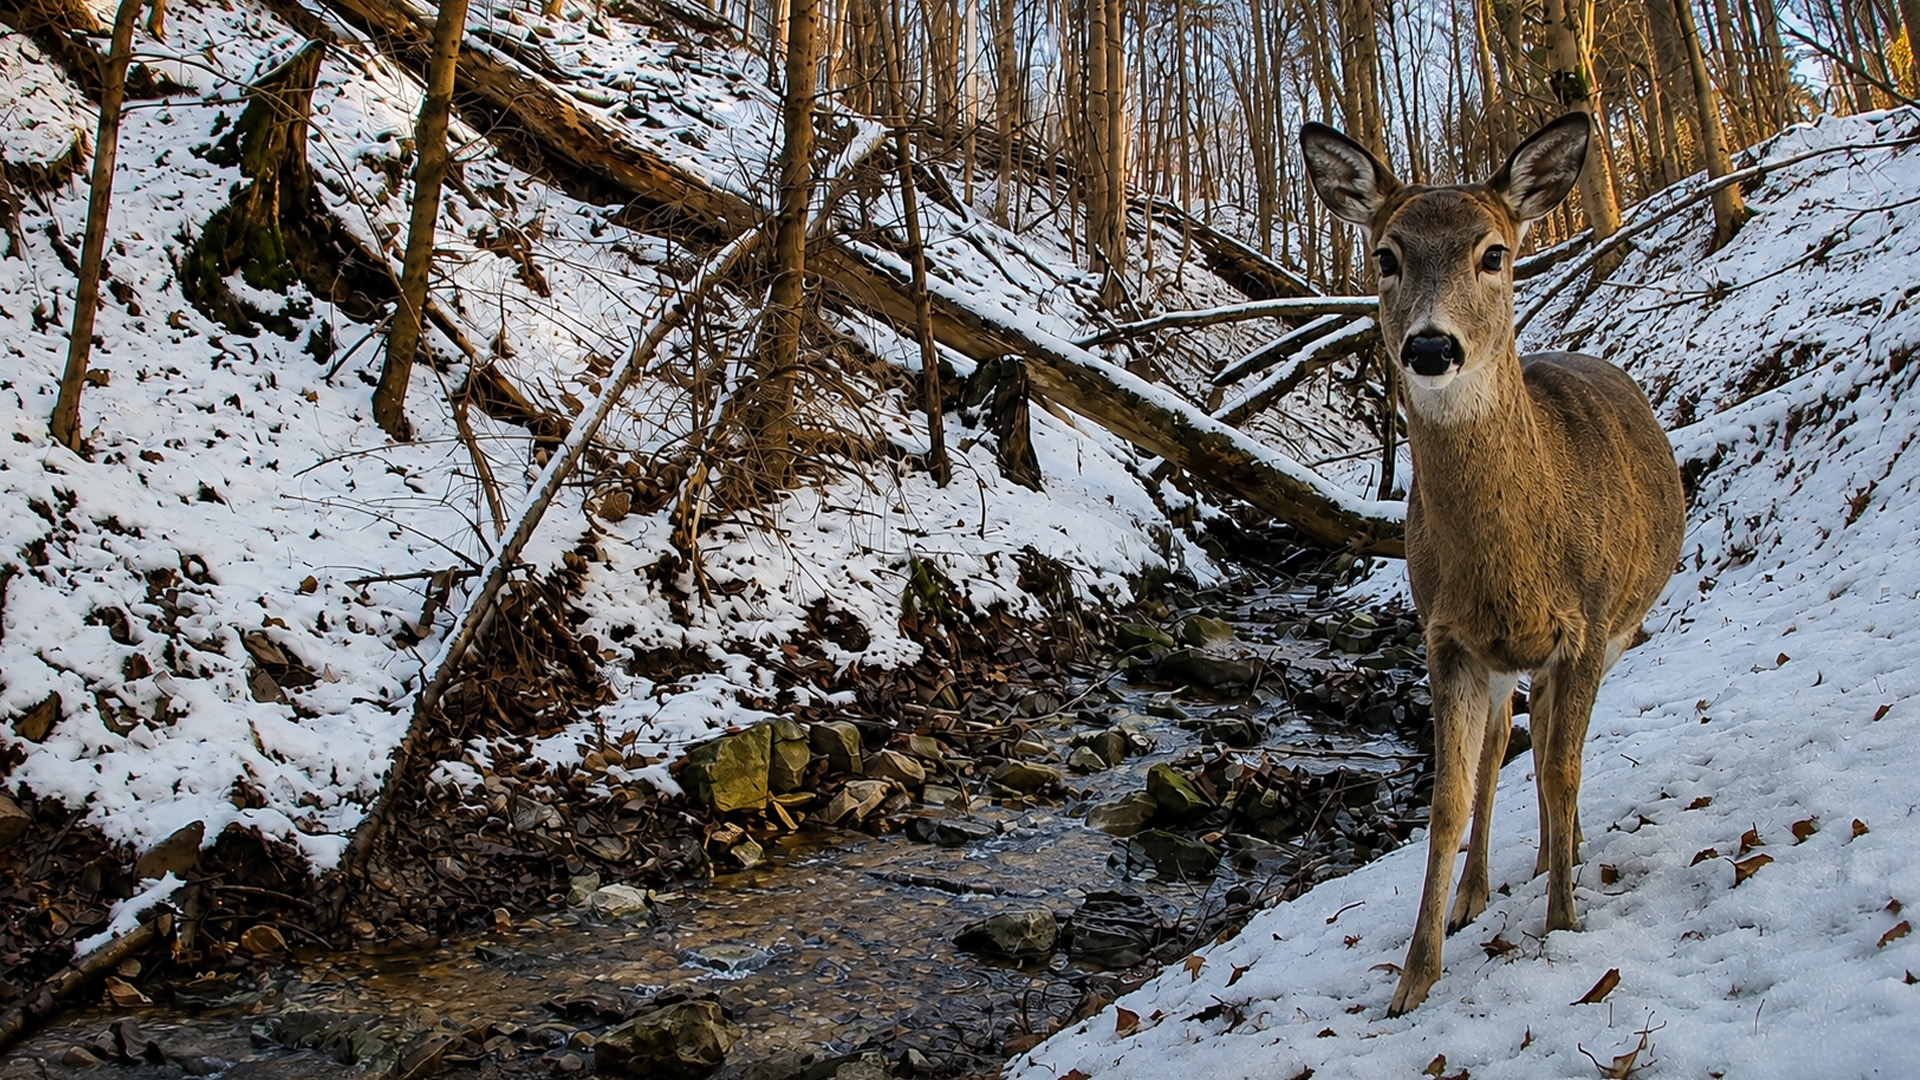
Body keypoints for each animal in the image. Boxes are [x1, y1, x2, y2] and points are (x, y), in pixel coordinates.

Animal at [1299, 114, 1685, 1016]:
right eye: (1386, 255)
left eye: (1495, 252)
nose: (1431, 346)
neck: (1518, 557)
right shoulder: (1445, 637)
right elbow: (1449, 800)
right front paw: (1414, 978)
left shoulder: (1586, 625)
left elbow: (1564, 769)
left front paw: (1564, 927)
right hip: (1505, 657)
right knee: (1504, 752)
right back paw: (1483, 891)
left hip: (1621, 622)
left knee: (1548, 747)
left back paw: (1560, 856)